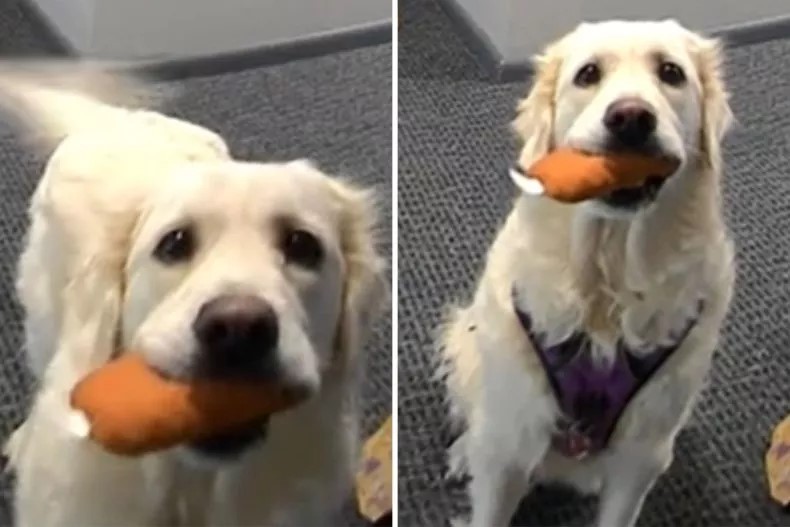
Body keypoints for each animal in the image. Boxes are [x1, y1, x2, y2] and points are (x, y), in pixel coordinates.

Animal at [442, 18, 740, 524]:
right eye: (589, 74)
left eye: (671, 73)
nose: (632, 117)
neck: (606, 279)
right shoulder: (513, 437)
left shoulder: (639, 455)